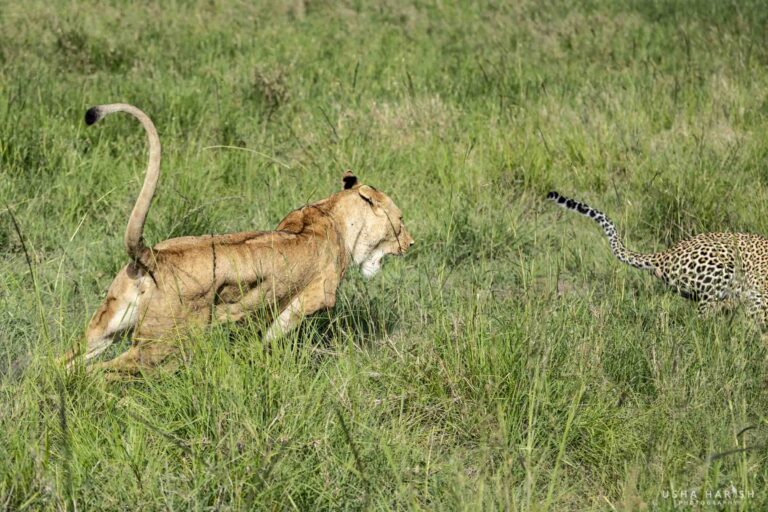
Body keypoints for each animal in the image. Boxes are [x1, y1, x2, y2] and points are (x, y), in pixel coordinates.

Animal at [61, 103, 414, 376]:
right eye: (400, 221)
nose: (411, 244)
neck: (329, 213)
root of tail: (153, 257)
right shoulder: (309, 301)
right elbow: (271, 335)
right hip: (159, 348)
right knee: (100, 373)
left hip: (104, 328)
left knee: (63, 362)